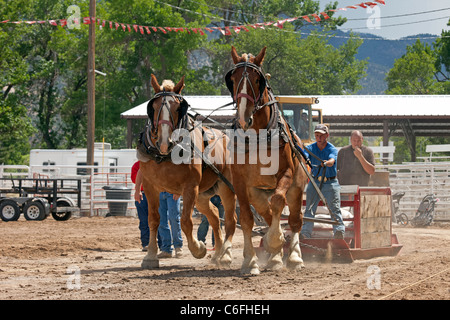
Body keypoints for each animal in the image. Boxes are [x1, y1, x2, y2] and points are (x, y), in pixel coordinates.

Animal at [136, 74, 236, 268]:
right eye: (154, 107)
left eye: (177, 108)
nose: (164, 142)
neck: (165, 155)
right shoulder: (150, 186)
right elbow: (154, 220)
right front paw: (150, 256)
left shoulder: (190, 187)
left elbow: (186, 222)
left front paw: (198, 249)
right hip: (203, 195)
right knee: (214, 215)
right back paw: (217, 254)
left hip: (226, 188)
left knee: (230, 220)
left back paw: (226, 255)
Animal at [227, 46, 308, 274]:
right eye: (233, 79)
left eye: (257, 80)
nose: (244, 118)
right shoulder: (240, 182)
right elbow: (247, 219)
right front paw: (250, 262)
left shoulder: (286, 174)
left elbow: (279, 201)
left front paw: (275, 242)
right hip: (257, 193)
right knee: (269, 212)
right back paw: (275, 258)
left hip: (296, 188)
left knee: (294, 219)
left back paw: (293, 257)